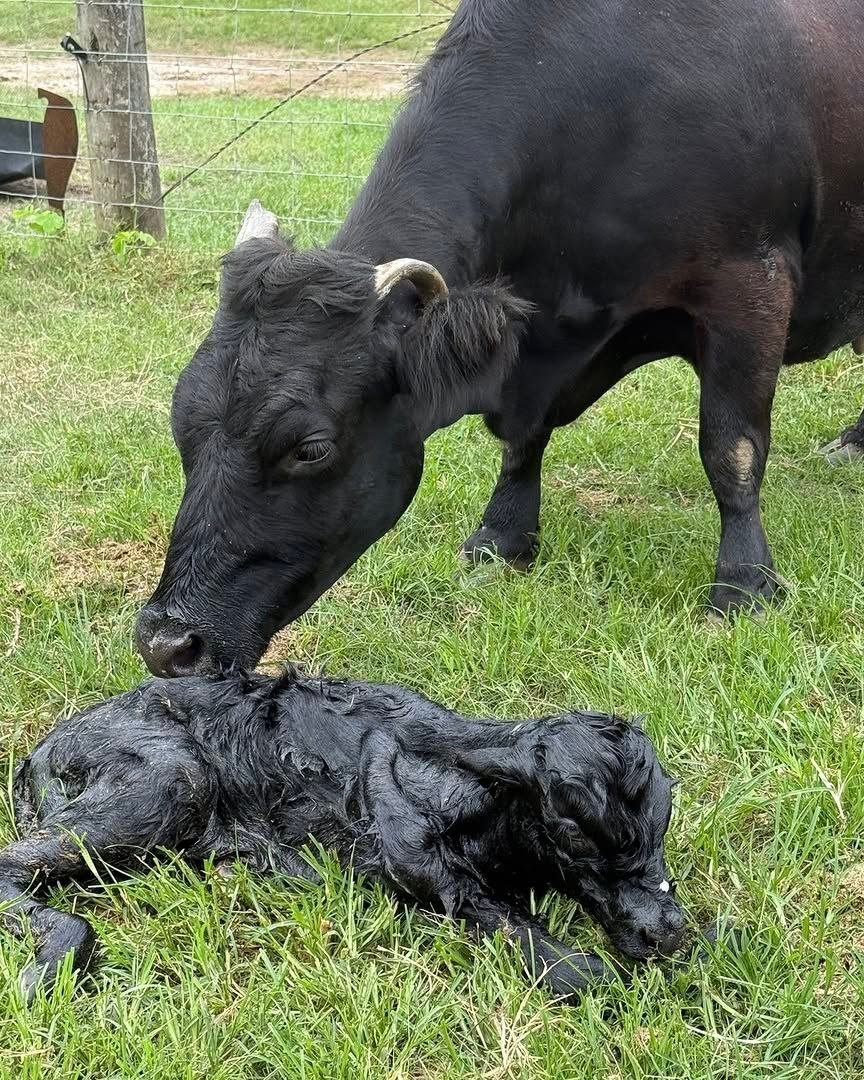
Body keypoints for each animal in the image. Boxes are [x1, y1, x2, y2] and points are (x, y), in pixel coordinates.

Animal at [137, 0, 864, 677]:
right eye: (180, 424)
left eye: (310, 448)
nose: (167, 642)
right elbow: (523, 440)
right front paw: (502, 536)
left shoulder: (750, 282)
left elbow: (731, 449)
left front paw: (744, 584)